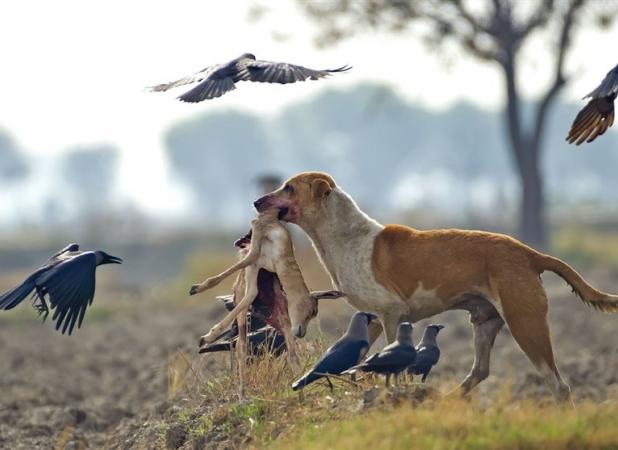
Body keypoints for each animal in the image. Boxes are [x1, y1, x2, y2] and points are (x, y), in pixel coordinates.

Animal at [251, 171, 616, 402]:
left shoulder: (392, 313)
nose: (256, 202)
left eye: (289, 188)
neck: (344, 236)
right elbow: (362, 355)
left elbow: (392, 358)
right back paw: (451, 397)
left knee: (558, 385)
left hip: (526, 325)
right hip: (485, 323)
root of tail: (530, 254)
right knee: (480, 371)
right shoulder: (371, 318)